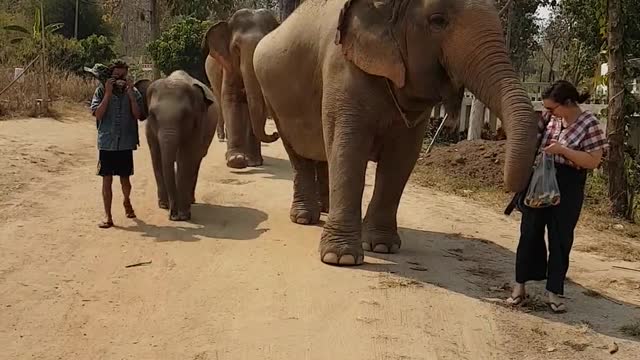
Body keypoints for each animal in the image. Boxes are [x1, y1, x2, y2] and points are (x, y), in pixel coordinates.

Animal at [135, 69, 218, 221]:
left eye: (185, 115)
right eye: (152, 114)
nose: (173, 216)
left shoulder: (197, 125)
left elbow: (185, 159)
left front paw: (184, 215)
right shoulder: (149, 130)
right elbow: (157, 158)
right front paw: (163, 205)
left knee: (195, 162)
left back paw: (191, 200)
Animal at [202, 7, 278, 169]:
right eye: (236, 48)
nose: (275, 133)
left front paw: (255, 162)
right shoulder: (228, 66)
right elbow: (230, 99)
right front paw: (236, 160)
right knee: (219, 100)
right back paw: (223, 139)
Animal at [252, 0, 544, 264]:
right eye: (437, 20)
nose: (515, 194)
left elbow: (401, 158)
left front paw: (382, 247)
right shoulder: (342, 67)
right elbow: (349, 148)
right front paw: (341, 258)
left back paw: (325, 210)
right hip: (274, 99)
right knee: (298, 155)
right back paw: (304, 218)